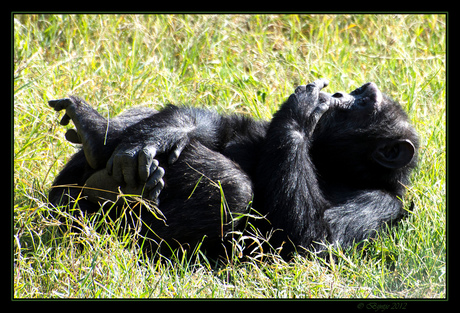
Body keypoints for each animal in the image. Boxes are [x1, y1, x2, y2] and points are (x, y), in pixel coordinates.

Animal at [48, 80, 418, 258]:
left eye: (364, 100)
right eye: (359, 92)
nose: (341, 93)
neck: (337, 166)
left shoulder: (382, 205)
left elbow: (311, 240)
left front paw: (301, 110)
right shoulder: (260, 132)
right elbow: (231, 129)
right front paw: (164, 131)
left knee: (235, 189)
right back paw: (98, 133)